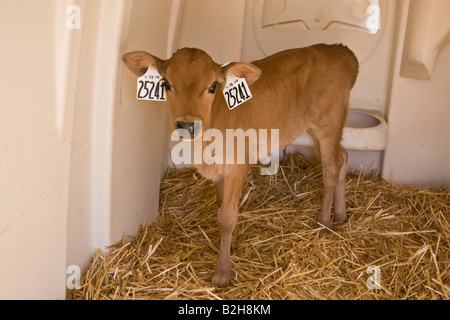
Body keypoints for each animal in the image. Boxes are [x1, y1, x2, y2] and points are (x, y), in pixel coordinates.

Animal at [122, 43, 358, 286]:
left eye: (213, 86)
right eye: (166, 83)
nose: (187, 125)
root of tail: (340, 50)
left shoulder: (237, 166)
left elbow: (227, 218)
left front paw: (222, 272)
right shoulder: (219, 170)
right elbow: (221, 206)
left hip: (328, 124)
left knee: (331, 169)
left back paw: (324, 222)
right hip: (316, 130)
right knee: (343, 157)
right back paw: (341, 215)